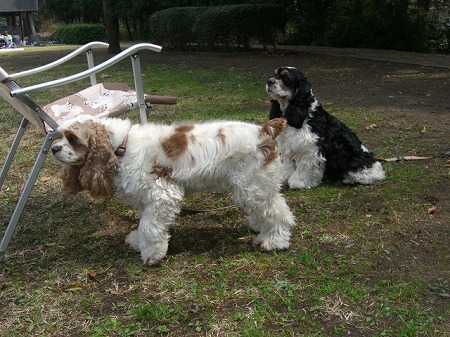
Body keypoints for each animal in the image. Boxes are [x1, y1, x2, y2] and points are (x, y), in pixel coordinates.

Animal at [51, 115, 296, 266]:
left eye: (73, 139)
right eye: (59, 136)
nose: (53, 149)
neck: (121, 146)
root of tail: (264, 130)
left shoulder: (163, 194)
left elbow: (149, 227)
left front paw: (152, 255)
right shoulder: (146, 199)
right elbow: (143, 224)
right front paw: (138, 242)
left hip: (252, 186)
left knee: (279, 212)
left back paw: (274, 241)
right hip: (253, 186)